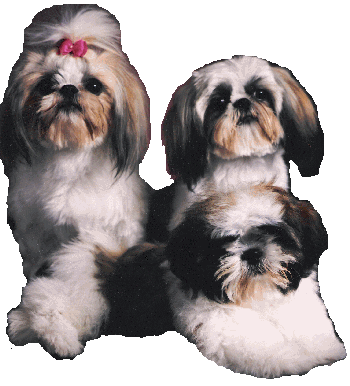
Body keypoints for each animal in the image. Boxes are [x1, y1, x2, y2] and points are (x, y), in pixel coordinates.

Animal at [1, 4, 149, 358]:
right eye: (45, 84)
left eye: (93, 86)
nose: (68, 89)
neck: (70, 159)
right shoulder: (36, 236)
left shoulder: (114, 230)